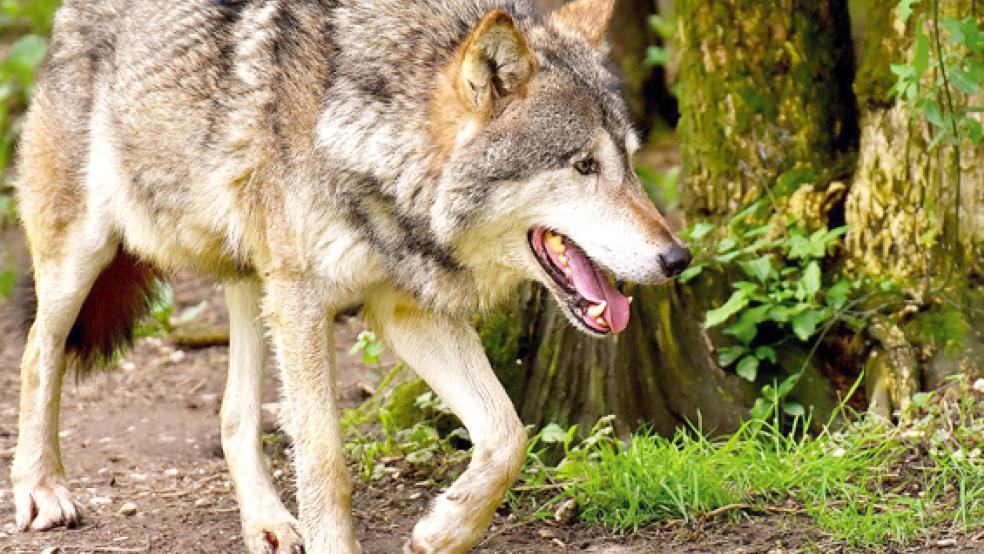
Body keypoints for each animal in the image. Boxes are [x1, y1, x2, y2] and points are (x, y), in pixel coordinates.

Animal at [10, 0, 690, 552]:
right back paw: (41, 490)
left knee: (234, 415)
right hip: (85, 254)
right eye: (584, 166)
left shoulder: (403, 310)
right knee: (38, 352)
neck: (369, 137)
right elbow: (325, 457)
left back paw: (268, 524)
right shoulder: (306, 302)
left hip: (254, 282)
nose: (678, 258)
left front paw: (444, 531)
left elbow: (507, 435)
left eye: (631, 163)